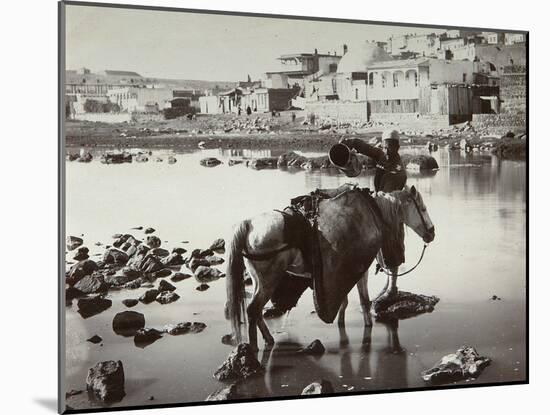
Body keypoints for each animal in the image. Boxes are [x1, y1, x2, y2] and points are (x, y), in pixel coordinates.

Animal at [224, 185, 436, 352]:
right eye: (423, 208)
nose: (432, 233)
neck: (373, 211)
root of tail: (249, 224)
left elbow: (344, 300)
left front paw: (341, 322)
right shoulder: (362, 269)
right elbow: (364, 300)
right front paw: (368, 325)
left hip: (259, 281)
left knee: (256, 310)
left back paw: (268, 339)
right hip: (269, 280)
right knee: (253, 309)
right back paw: (255, 346)